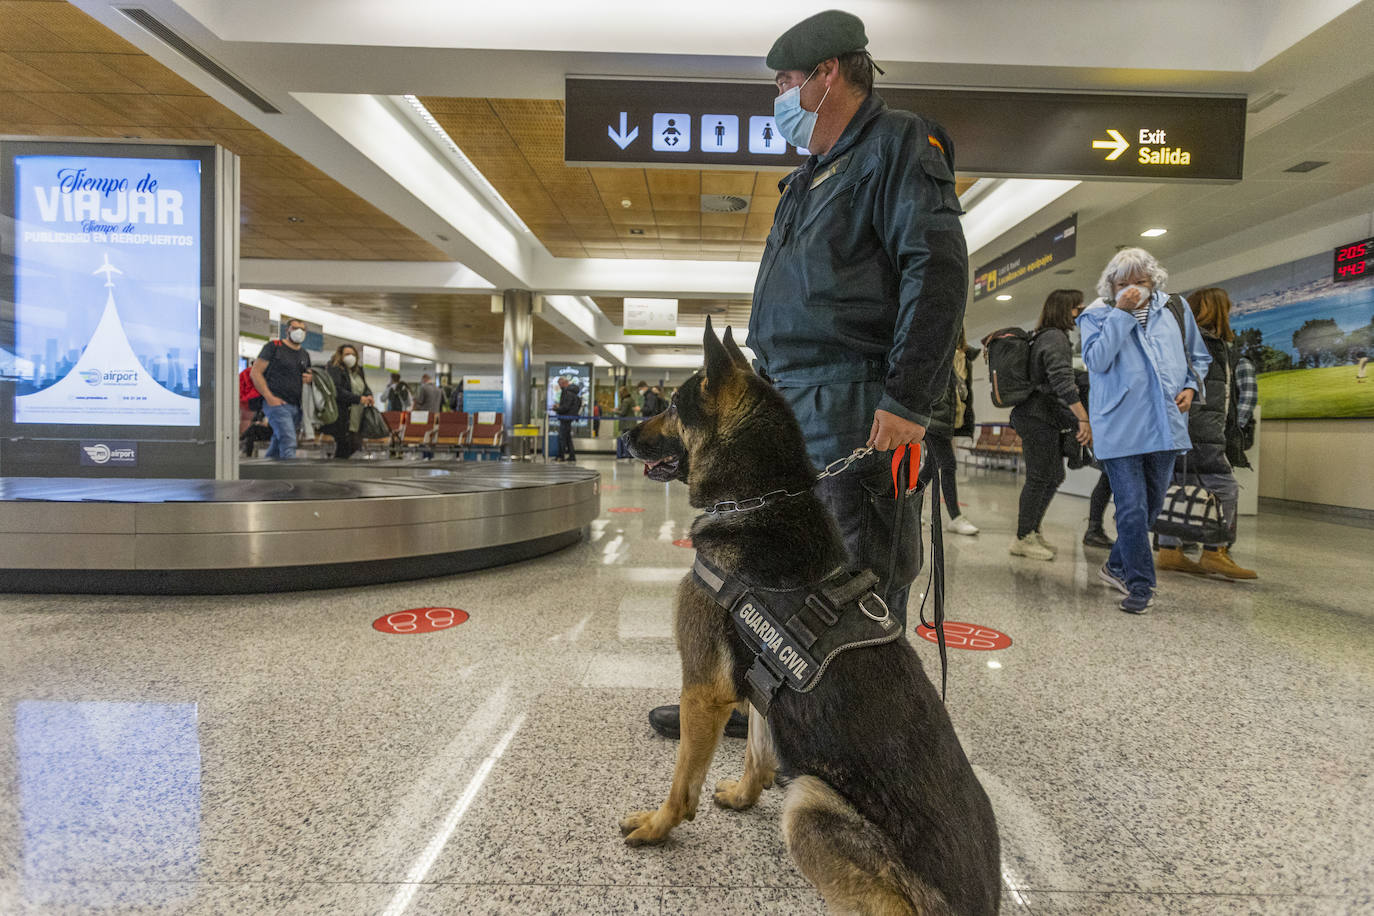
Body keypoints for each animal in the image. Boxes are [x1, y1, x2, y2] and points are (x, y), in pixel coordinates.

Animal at [621, 318, 1000, 911]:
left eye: (674, 407)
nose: (623, 435)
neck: (759, 500)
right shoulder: (759, 679)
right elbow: (757, 750)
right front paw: (744, 795)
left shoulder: (702, 691)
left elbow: (683, 782)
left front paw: (659, 826)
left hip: (810, 805)